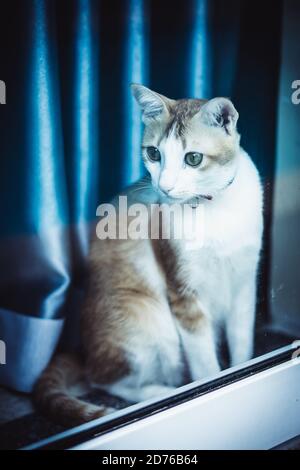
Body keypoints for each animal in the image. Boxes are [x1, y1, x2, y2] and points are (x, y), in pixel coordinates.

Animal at [34, 83, 262, 426]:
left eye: (193, 158)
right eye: (154, 153)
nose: (164, 186)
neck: (210, 208)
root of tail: (83, 351)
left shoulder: (244, 284)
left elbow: (242, 341)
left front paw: (240, 368)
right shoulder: (183, 292)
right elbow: (205, 363)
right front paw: (212, 384)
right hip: (147, 317)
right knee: (104, 379)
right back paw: (159, 392)